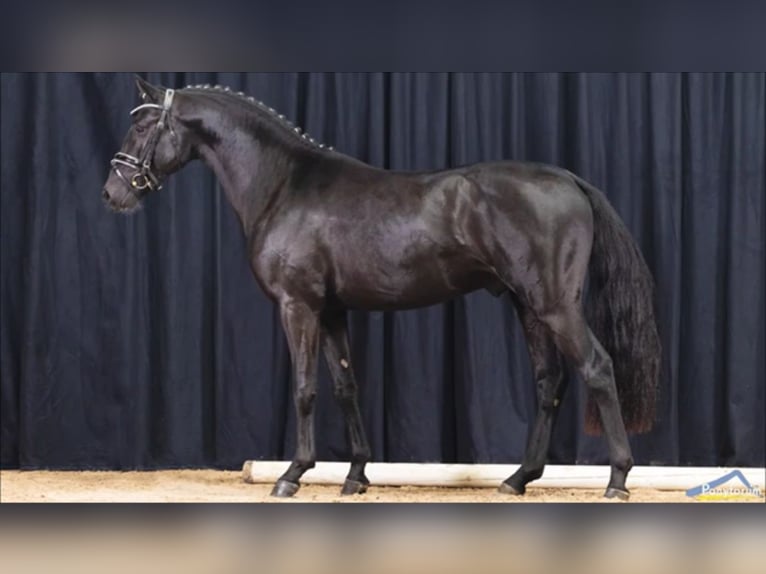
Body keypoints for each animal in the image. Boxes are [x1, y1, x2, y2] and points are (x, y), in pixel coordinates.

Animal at [105, 76, 664, 500]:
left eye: (143, 124)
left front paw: (292, 475)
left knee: (597, 369)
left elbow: (305, 389)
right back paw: (518, 478)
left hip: (554, 305)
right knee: (550, 382)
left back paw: (617, 480)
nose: (113, 194)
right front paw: (355, 476)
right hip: (528, 306)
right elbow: (346, 386)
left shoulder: (298, 307)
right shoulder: (331, 311)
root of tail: (568, 179)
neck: (285, 185)